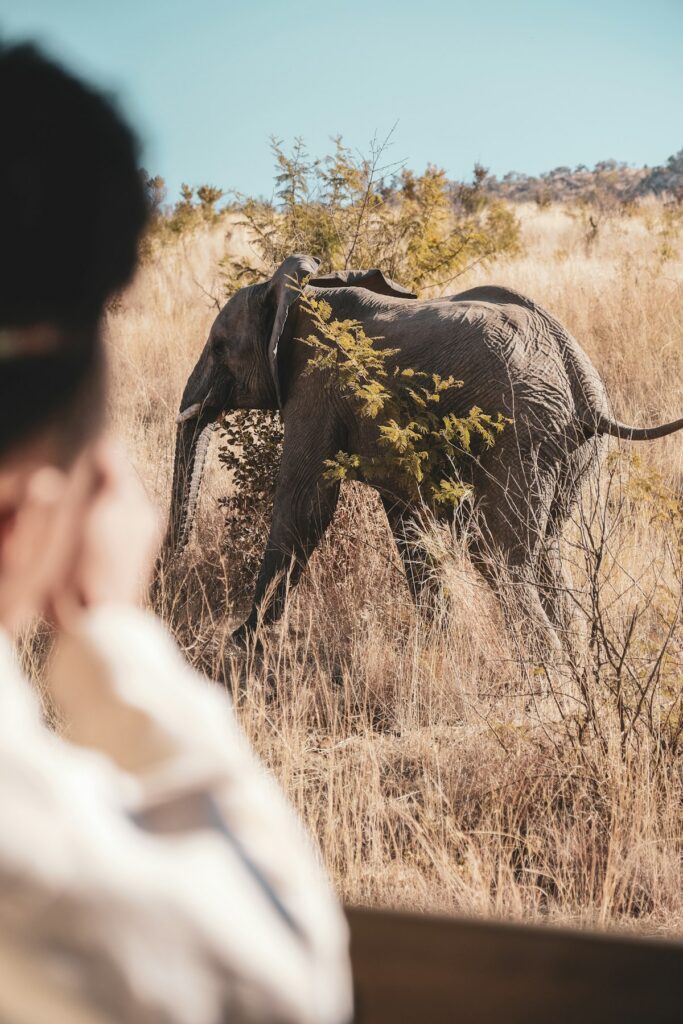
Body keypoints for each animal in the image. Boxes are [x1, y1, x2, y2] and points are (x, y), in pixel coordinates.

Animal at [167, 253, 683, 654]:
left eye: (219, 348)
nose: (166, 583)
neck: (297, 296)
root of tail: (581, 381)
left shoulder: (317, 385)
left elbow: (305, 505)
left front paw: (238, 642)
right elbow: (403, 518)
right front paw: (439, 640)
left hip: (521, 433)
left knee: (499, 554)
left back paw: (546, 675)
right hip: (566, 449)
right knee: (546, 550)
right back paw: (574, 660)